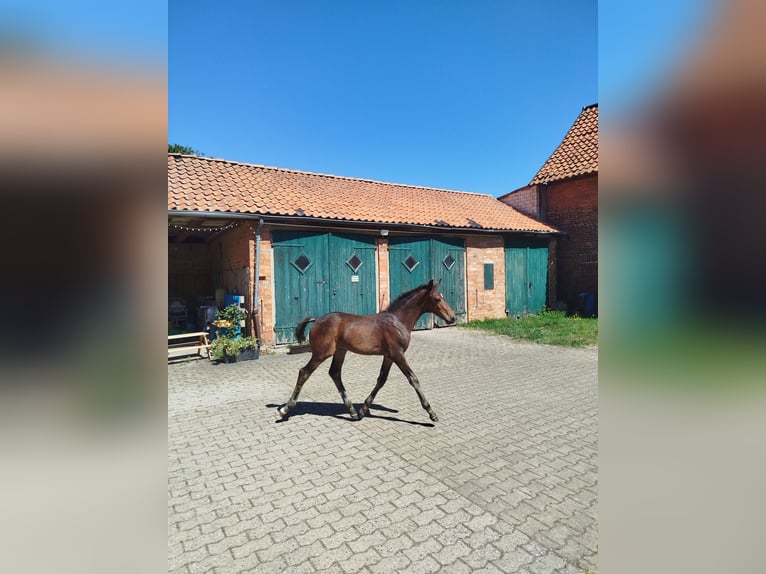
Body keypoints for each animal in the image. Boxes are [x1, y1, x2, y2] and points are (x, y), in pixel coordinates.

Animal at [277, 279, 457, 422]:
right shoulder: (398, 354)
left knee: (334, 373)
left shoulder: (389, 356)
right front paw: (432, 413)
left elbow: (381, 380)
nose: (453, 317)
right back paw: (285, 409)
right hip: (322, 353)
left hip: (340, 351)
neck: (398, 321)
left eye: (443, 297)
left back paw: (352, 411)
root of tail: (317, 319)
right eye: (437, 299)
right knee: (304, 372)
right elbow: (413, 379)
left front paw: (363, 409)